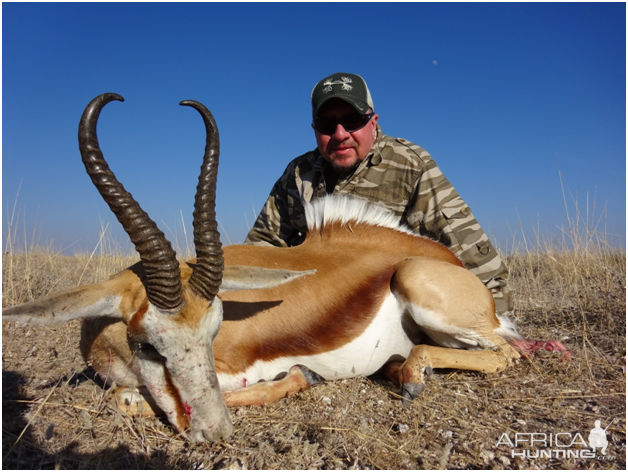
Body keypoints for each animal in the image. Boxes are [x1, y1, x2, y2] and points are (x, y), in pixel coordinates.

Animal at [1, 93, 568, 442]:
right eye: (148, 344)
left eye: (215, 331)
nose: (214, 432)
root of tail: (446, 260)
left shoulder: (235, 372)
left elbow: (133, 399)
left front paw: (298, 376)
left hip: (426, 292)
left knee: (507, 353)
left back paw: (411, 375)